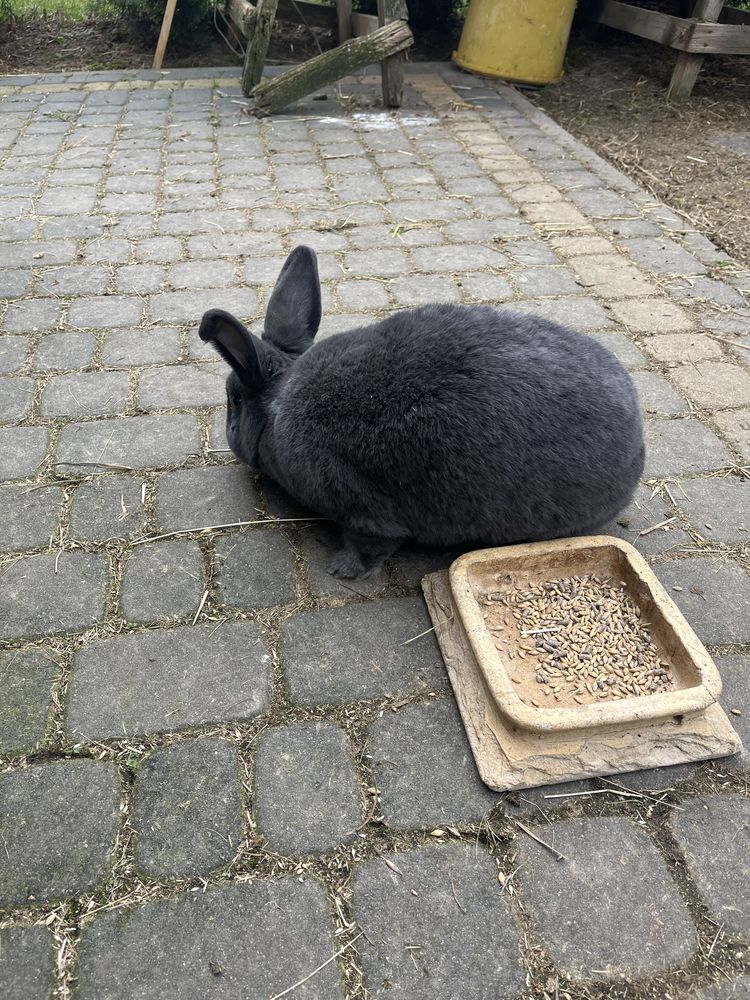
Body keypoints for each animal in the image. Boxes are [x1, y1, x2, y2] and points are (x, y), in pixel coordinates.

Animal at [201, 243, 648, 584]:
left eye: (234, 400)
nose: (229, 434)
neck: (281, 406)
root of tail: (638, 442)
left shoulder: (366, 513)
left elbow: (371, 544)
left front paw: (343, 571)